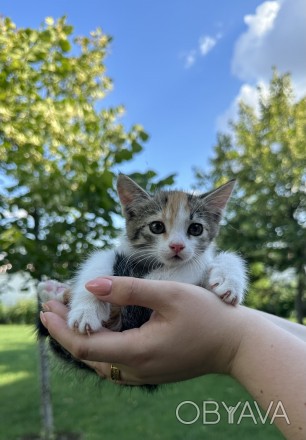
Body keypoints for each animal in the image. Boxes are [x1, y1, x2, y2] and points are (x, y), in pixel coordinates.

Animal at [37, 174, 246, 370]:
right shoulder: (119, 255)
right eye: (156, 226)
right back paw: (53, 291)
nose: (177, 246)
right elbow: (97, 263)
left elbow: (212, 261)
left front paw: (229, 282)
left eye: (196, 228)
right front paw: (86, 311)